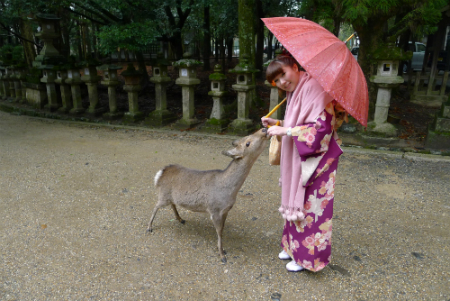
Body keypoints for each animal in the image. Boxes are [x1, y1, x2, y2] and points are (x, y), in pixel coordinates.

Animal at [146, 127, 268, 262]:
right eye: (248, 143)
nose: (264, 129)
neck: (229, 191)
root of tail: (160, 174)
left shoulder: (225, 210)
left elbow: (222, 229)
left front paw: (223, 251)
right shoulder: (214, 210)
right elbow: (219, 231)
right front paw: (222, 255)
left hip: (170, 196)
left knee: (172, 204)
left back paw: (180, 219)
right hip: (163, 195)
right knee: (155, 206)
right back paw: (149, 227)